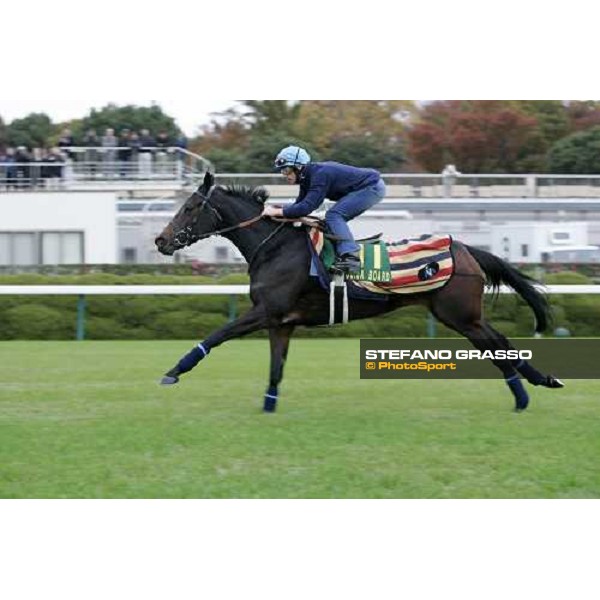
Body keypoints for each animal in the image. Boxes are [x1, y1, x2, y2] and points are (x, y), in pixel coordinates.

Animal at [155, 171, 564, 410]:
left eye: (190, 206)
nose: (161, 240)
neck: (275, 246)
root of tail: (464, 247)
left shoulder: (265, 311)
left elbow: (216, 335)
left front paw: (173, 371)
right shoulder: (281, 322)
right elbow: (276, 367)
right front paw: (269, 405)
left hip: (459, 315)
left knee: (497, 345)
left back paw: (524, 393)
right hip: (465, 315)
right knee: (500, 343)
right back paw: (536, 384)